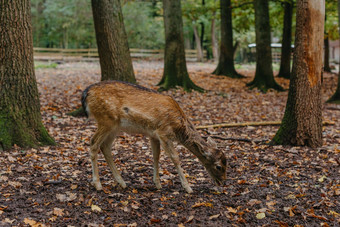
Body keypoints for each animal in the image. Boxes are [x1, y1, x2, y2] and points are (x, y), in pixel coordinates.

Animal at [81, 80, 227, 192]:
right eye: (219, 166)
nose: (223, 182)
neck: (178, 125)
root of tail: (86, 93)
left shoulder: (153, 134)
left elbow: (156, 156)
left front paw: (157, 184)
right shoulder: (164, 132)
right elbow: (175, 158)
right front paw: (188, 187)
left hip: (114, 127)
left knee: (105, 146)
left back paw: (121, 182)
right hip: (106, 120)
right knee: (93, 142)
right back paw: (98, 184)